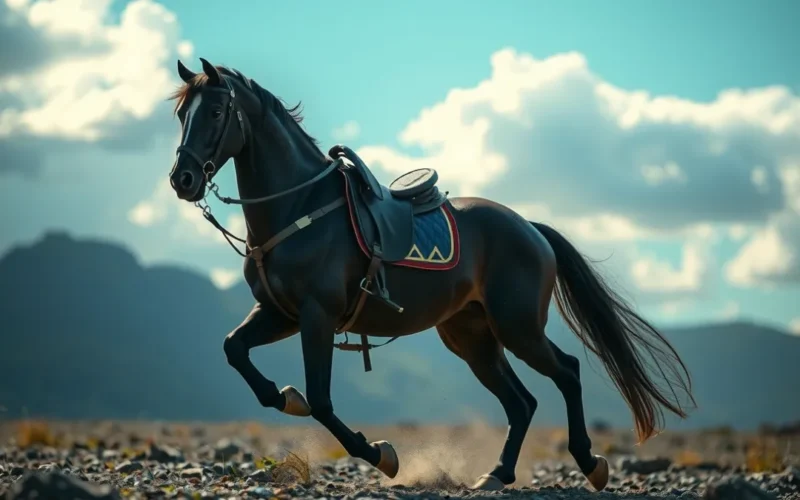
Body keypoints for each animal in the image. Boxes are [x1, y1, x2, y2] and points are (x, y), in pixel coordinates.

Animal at [165, 57, 695, 491]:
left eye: (217, 112)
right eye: (180, 115)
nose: (182, 180)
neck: (300, 206)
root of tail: (530, 228)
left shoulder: (317, 316)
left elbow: (321, 400)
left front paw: (380, 454)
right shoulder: (280, 313)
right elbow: (236, 351)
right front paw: (285, 397)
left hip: (518, 327)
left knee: (567, 372)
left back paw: (589, 463)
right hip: (471, 336)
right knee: (521, 403)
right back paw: (497, 474)